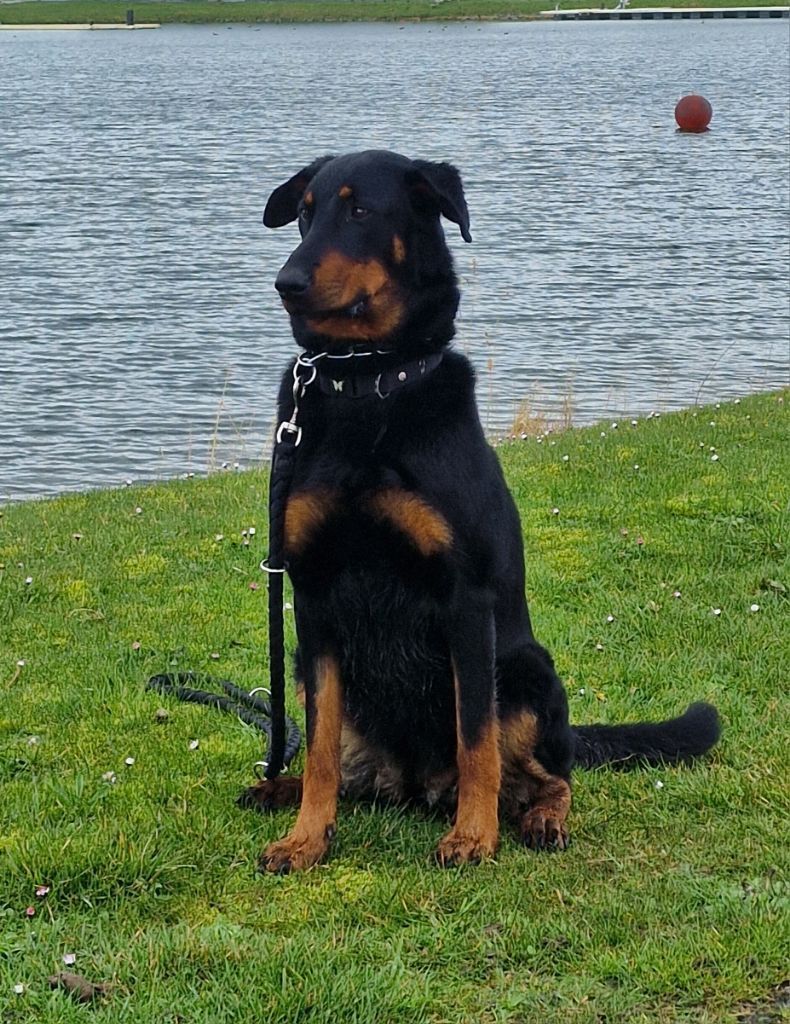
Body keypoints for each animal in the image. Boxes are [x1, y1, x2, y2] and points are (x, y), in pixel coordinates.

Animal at [239, 150, 720, 873]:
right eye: (304, 213)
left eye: (360, 210)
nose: (286, 282)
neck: (368, 384)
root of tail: (412, 786)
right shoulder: (315, 602)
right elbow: (320, 748)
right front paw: (305, 838)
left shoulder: (464, 599)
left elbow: (476, 741)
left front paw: (473, 835)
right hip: (303, 672)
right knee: (343, 767)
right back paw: (281, 788)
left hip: (526, 670)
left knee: (551, 775)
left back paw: (539, 817)